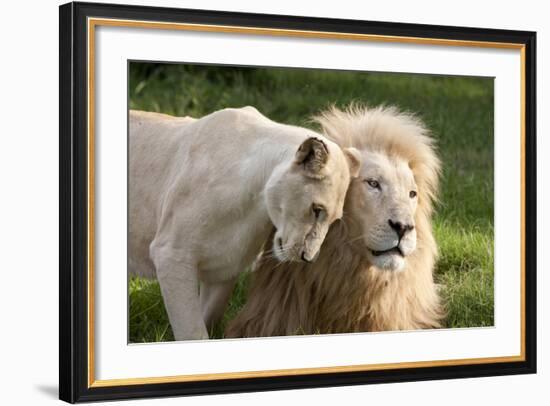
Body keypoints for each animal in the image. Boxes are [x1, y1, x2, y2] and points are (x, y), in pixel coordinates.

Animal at [129, 106, 362, 340]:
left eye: (334, 220)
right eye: (316, 210)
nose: (308, 258)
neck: (255, 207)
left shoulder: (225, 266)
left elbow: (209, 317)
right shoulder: (171, 255)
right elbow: (192, 332)